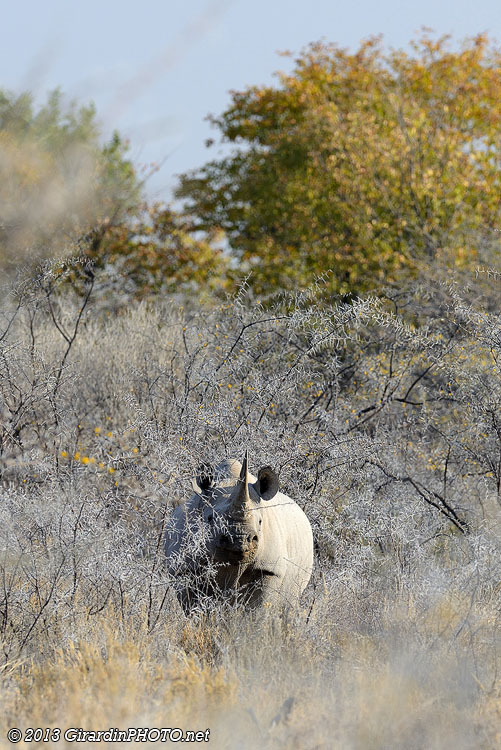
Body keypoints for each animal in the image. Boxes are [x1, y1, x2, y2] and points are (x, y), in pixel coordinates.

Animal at [164, 452, 313, 612]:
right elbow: (194, 606)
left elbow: (259, 610)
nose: (239, 540)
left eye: (260, 522)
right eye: (209, 518)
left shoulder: (269, 568)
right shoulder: (185, 569)